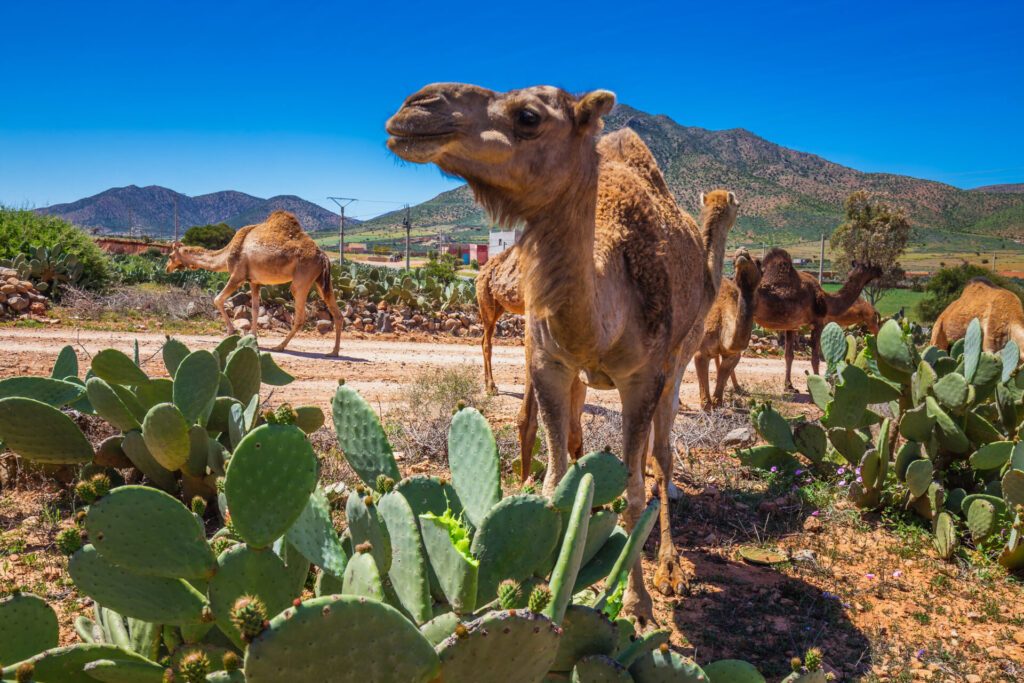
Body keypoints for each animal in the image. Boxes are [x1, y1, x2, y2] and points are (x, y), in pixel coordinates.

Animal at [165, 210, 344, 356]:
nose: (167, 268)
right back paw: (333, 351)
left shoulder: (237, 275)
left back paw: (280, 346)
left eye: (170, 256)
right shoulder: (254, 281)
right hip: (321, 281)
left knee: (300, 315)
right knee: (336, 312)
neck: (227, 253)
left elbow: (218, 299)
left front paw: (232, 331)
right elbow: (256, 309)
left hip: (302, 278)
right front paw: (253, 337)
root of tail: (323, 255)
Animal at [387, 83, 733, 618]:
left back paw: (669, 566)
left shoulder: (646, 375)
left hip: (678, 354)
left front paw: (636, 601)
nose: (415, 107)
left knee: (660, 453)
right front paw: (551, 587)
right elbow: (555, 481)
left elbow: (635, 490)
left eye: (528, 117)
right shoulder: (551, 364)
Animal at [696, 246, 761, 411]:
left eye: (759, 262)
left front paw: (718, 401)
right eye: (733, 262)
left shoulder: (733, 354)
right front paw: (706, 405)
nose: (742, 252)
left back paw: (737, 388)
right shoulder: (700, 351)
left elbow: (724, 372)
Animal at [749, 248, 884, 393]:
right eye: (870, 265)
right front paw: (819, 385)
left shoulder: (792, 325)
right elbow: (815, 357)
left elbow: (789, 355)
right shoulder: (818, 323)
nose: (880, 270)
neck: (828, 301)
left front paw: (789, 386)